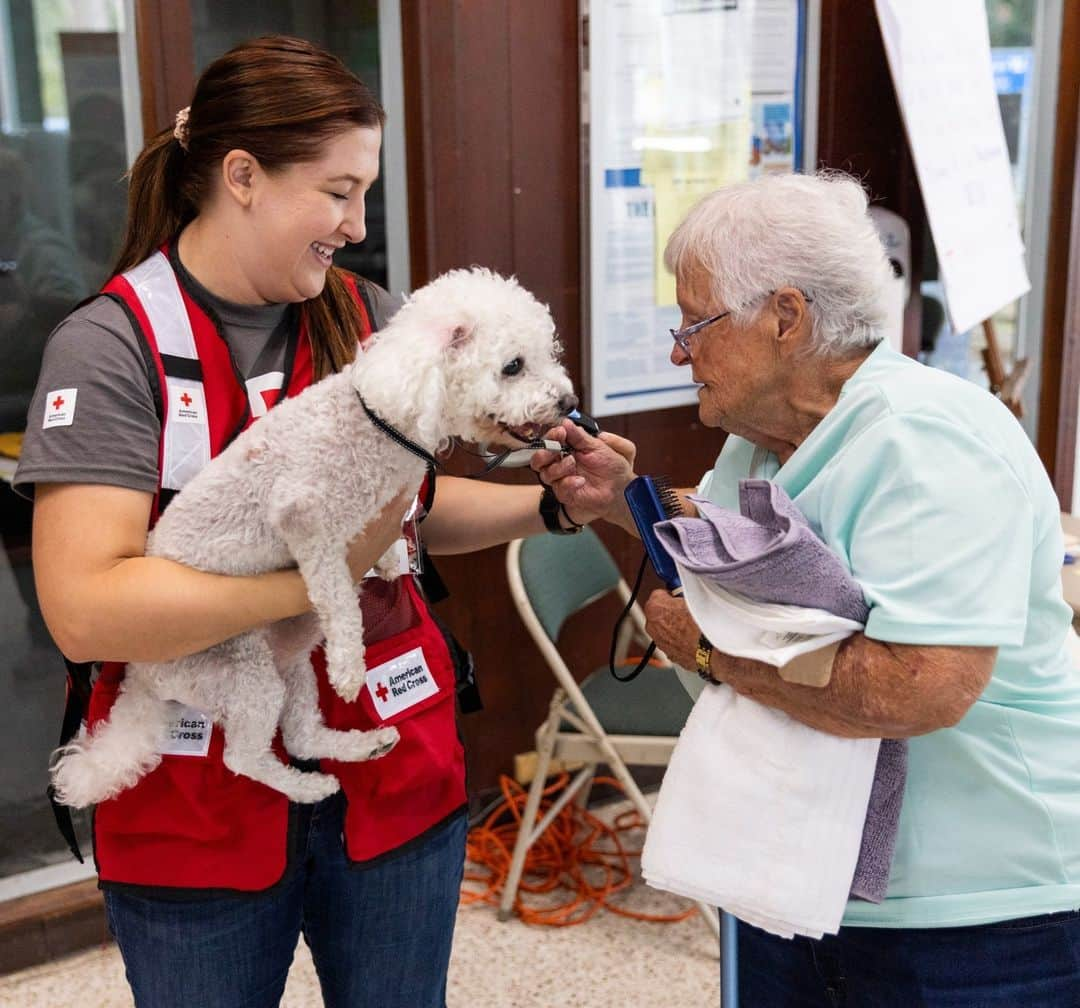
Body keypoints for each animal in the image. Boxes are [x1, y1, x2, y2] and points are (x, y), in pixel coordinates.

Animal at [52, 265, 574, 803]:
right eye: (513, 366)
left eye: (547, 352)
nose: (569, 401)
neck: (382, 418)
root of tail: (140, 676)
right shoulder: (305, 521)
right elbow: (339, 599)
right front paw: (348, 666)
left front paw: (390, 559)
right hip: (242, 673)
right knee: (243, 757)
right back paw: (308, 788)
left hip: (290, 665)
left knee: (301, 732)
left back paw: (362, 747)